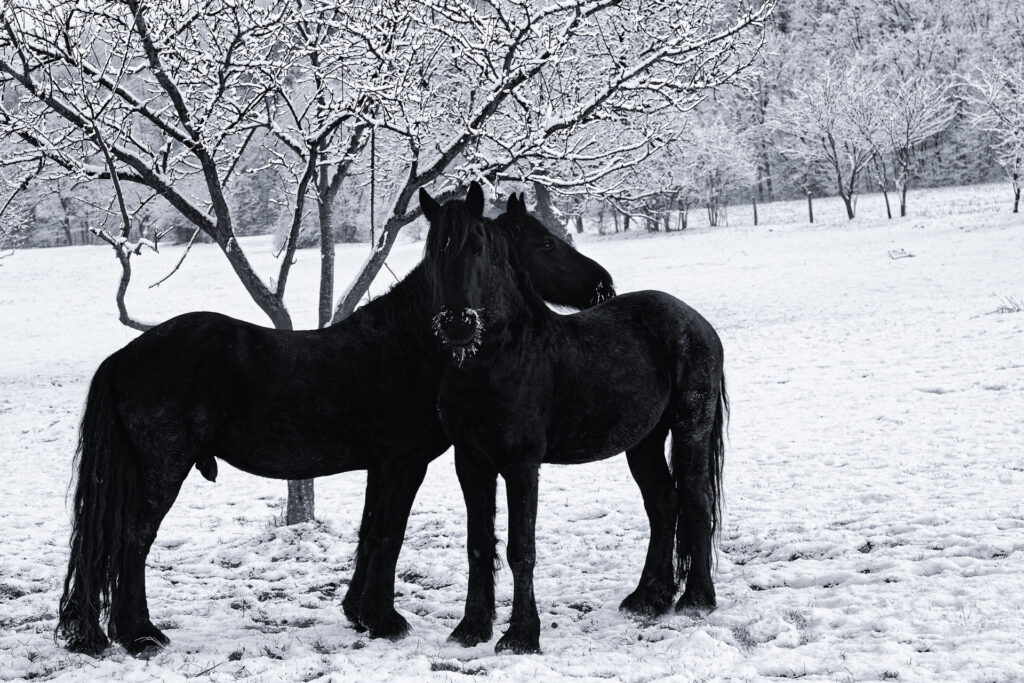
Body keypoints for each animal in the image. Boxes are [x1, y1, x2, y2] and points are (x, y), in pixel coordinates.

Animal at [57, 182, 615, 656]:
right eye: (545, 244)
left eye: (479, 246)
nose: (603, 285)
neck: (410, 345)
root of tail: (125, 356)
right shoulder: (403, 463)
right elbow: (390, 534)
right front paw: (385, 620)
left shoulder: (380, 466)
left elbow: (371, 533)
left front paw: (360, 614)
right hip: (162, 471)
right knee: (134, 541)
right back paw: (139, 635)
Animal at [423, 192, 728, 654]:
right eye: (433, 253)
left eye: (478, 247)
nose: (458, 324)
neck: (498, 360)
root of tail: (697, 323)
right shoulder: (471, 464)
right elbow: (478, 545)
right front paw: (471, 628)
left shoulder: (522, 466)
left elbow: (520, 550)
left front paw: (521, 635)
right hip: (643, 443)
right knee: (663, 505)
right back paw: (648, 598)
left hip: (690, 429)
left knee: (696, 502)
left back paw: (696, 599)